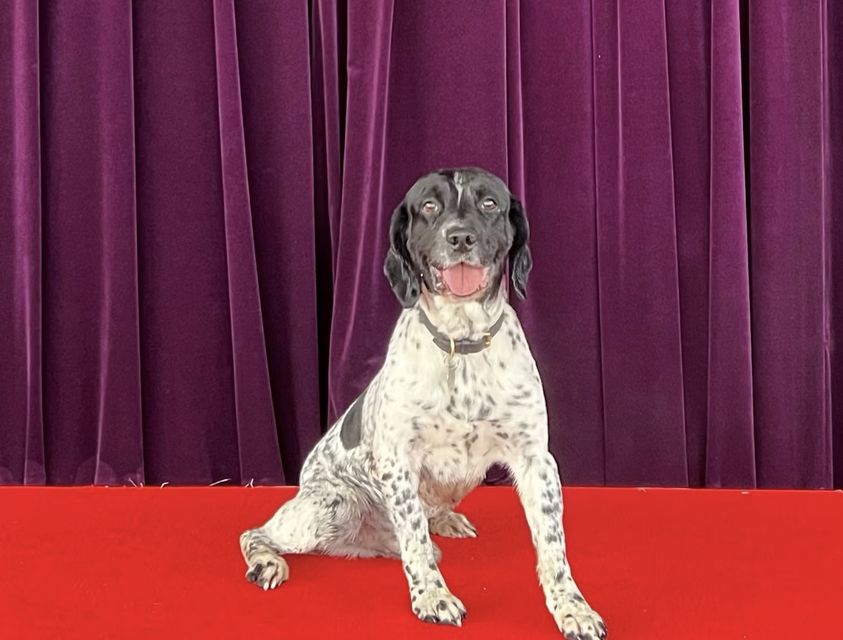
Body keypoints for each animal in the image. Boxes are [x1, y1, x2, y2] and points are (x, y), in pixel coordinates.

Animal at [237, 168, 608, 636]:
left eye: (489, 203)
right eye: (429, 206)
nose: (461, 237)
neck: (461, 342)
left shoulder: (536, 460)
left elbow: (553, 547)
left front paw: (572, 608)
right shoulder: (399, 462)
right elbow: (413, 538)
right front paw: (432, 596)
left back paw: (445, 521)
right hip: (327, 508)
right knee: (255, 533)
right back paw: (266, 563)